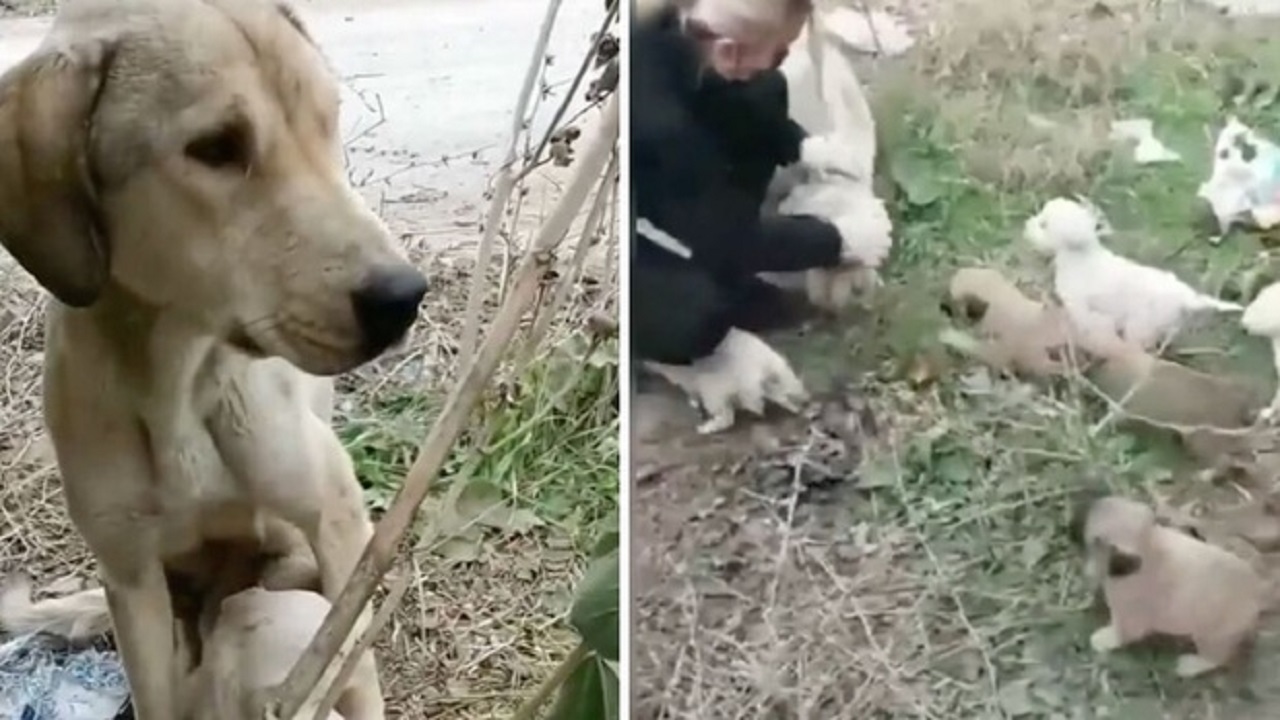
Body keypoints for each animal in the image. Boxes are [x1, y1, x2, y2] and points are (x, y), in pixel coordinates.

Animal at [0, 1, 432, 717]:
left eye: (327, 120)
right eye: (216, 148)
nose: (403, 298)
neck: (179, 380)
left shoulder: (337, 519)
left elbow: (353, 665)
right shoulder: (133, 579)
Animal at [1018, 196, 1239, 348]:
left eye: (1043, 224)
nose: (1026, 225)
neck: (1081, 258)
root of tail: (1186, 297)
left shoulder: (1084, 309)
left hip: (1140, 325)